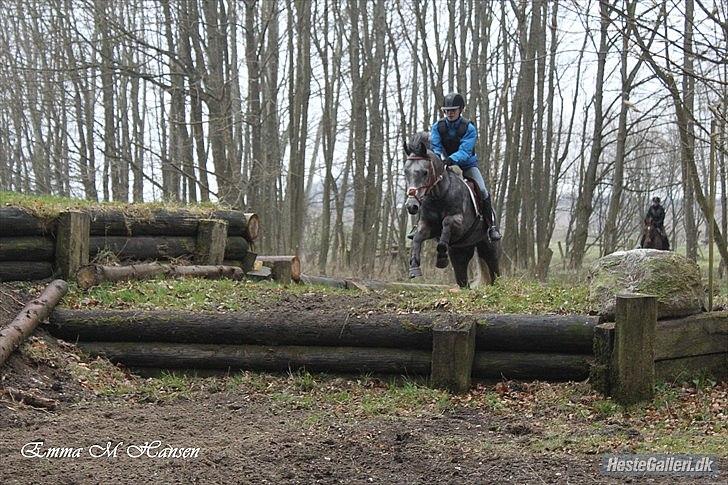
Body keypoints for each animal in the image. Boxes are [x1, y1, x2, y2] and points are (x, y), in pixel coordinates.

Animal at [404, 131, 500, 288]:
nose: (411, 205)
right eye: (406, 172)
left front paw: (442, 258)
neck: (439, 195)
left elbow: (446, 224)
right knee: (463, 281)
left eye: (425, 172)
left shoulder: (458, 223)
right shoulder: (428, 227)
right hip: (460, 252)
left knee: (495, 273)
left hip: (489, 248)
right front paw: (414, 268)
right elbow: (417, 238)